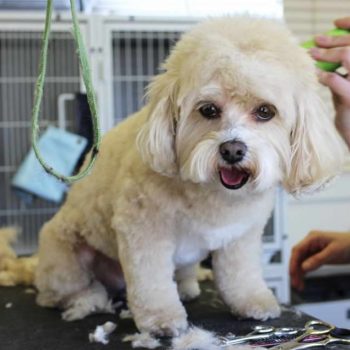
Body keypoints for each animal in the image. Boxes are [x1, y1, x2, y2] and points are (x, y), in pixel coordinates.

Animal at [34, 16, 346, 336]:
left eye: (265, 111)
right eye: (208, 109)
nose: (232, 150)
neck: (215, 195)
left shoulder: (242, 235)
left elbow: (240, 274)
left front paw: (253, 301)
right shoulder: (143, 231)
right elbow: (151, 281)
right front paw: (160, 318)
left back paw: (185, 286)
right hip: (65, 254)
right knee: (57, 292)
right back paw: (88, 298)